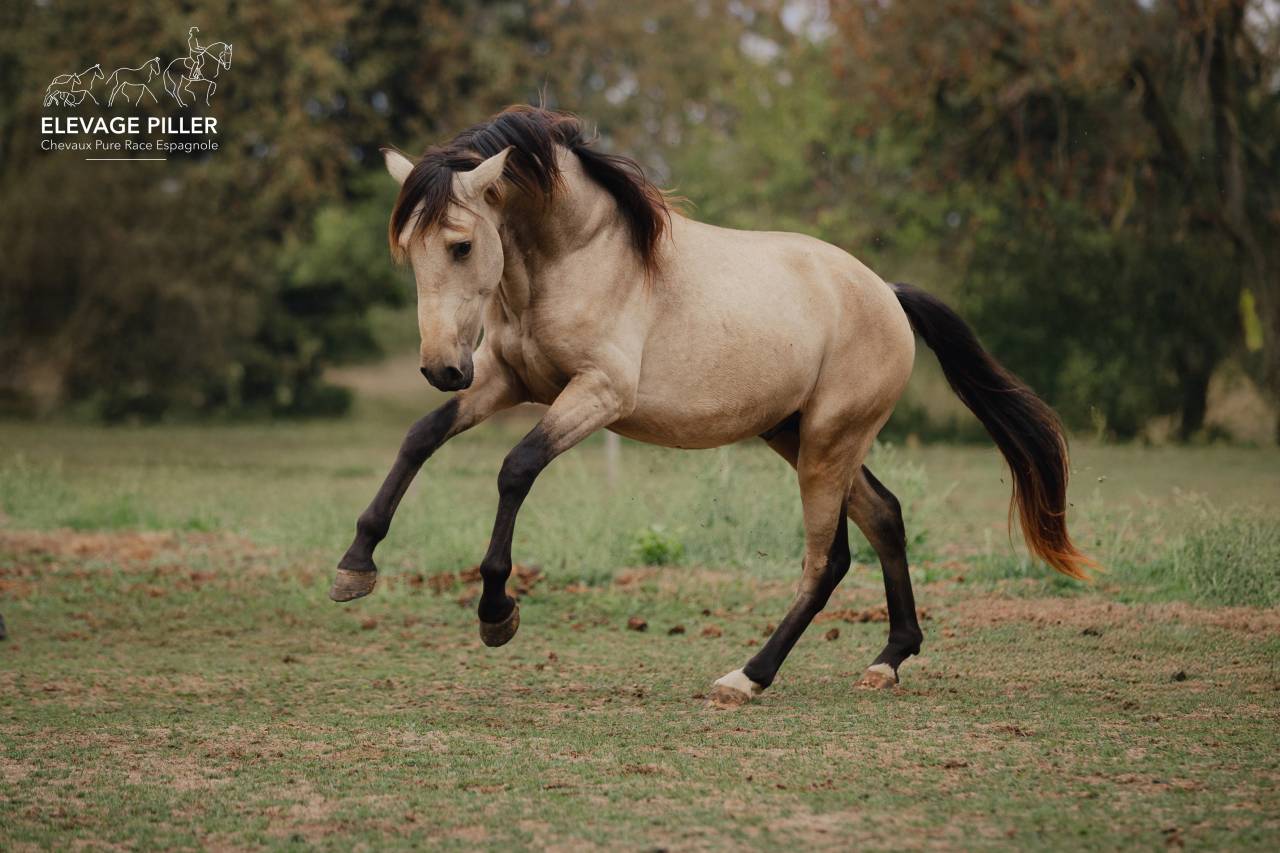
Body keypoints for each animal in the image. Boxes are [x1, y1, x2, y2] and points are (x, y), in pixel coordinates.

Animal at [329, 106, 1096, 705]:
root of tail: (886, 292)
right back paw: (887, 660)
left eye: (461, 245)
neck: (579, 258)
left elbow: (516, 468)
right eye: (408, 249)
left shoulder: (598, 394)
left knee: (826, 561)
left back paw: (748, 676)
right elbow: (420, 437)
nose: (439, 367)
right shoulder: (503, 378)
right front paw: (355, 565)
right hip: (797, 435)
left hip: (828, 443)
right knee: (884, 517)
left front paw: (496, 612)